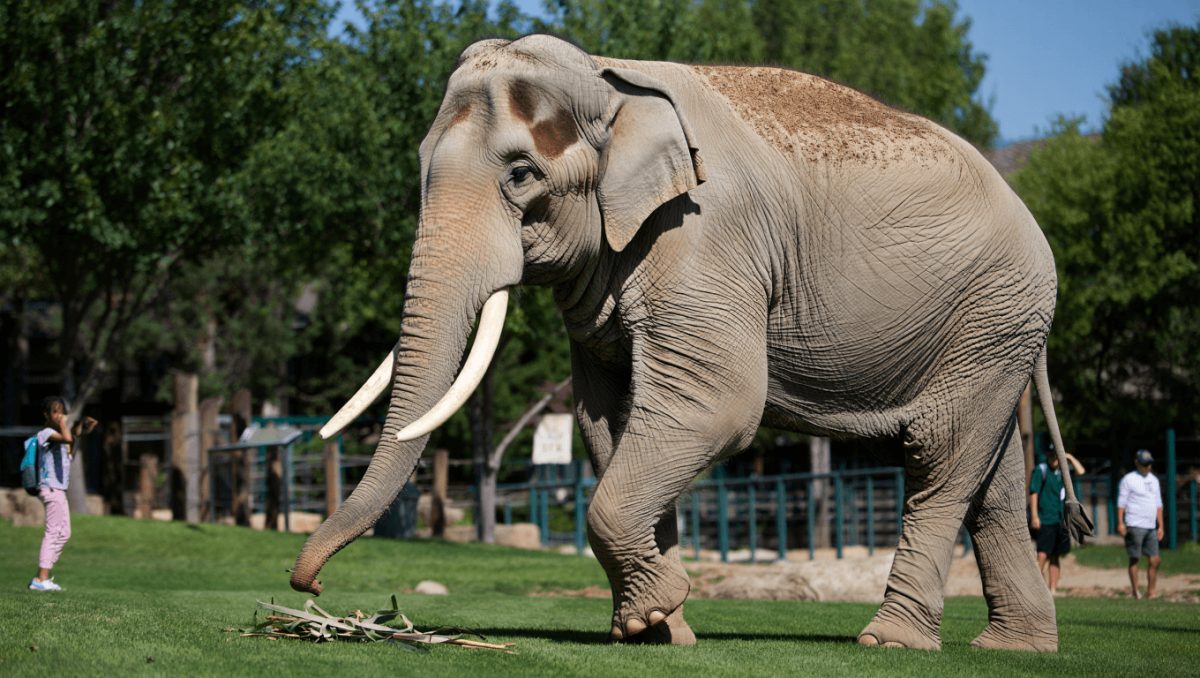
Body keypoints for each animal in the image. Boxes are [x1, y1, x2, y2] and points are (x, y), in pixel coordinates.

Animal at [290, 34, 1092, 652]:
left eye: (521, 175)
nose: (312, 584)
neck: (608, 78)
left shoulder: (707, 233)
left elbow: (715, 405)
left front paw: (655, 610)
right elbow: (610, 422)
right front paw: (654, 630)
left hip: (995, 309)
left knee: (940, 453)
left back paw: (889, 642)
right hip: (993, 328)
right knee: (991, 476)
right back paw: (1013, 648)